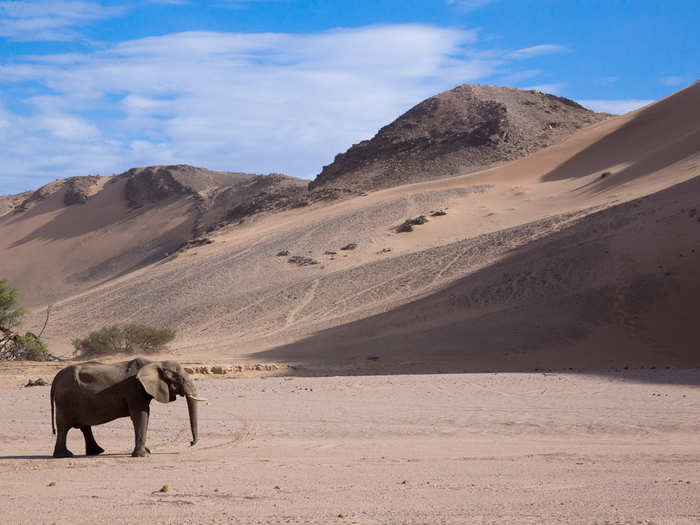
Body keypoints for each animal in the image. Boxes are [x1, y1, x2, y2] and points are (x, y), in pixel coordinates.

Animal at [50, 358, 205, 456]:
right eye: (178, 378)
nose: (190, 443)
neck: (155, 362)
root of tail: (57, 376)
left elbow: (141, 417)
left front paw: (147, 451)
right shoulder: (135, 389)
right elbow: (141, 415)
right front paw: (143, 455)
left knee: (84, 427)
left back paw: (97, 452)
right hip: (65, 401)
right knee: (64, 427)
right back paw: (65, 455)